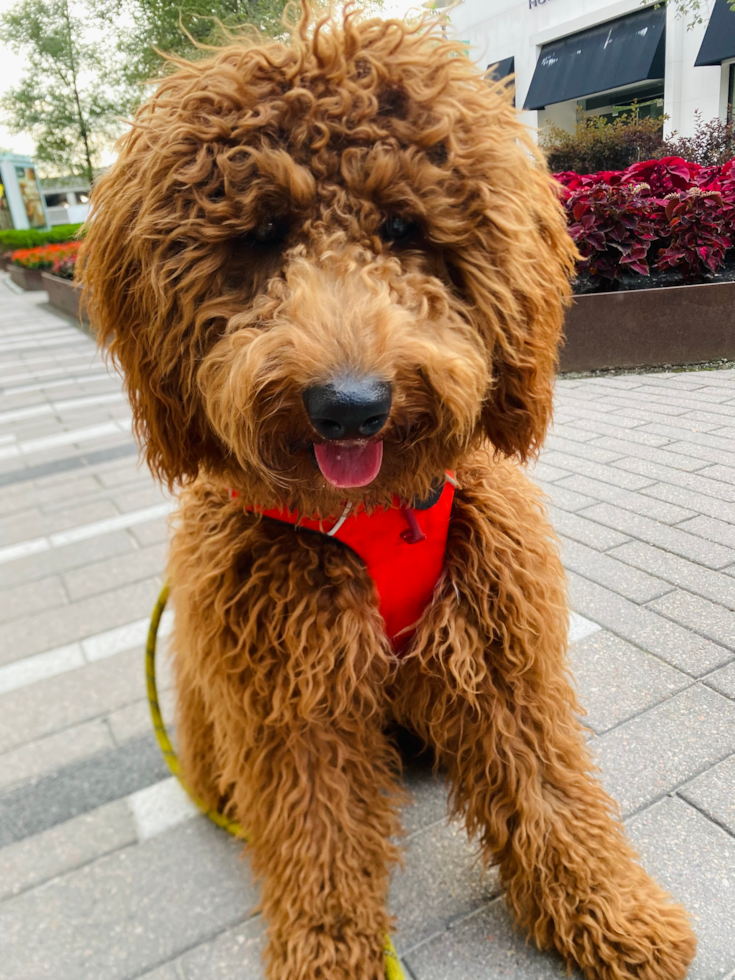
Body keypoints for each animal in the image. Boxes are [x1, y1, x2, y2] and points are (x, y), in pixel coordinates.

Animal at [79, 9, 696, 980]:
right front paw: (331, 955)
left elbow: (550, 792)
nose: (349, 405)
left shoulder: (499, 648)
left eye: (405, 224)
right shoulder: (291, 698)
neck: (374, 514)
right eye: (261, 233)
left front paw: (610, 912)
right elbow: (318, 843)